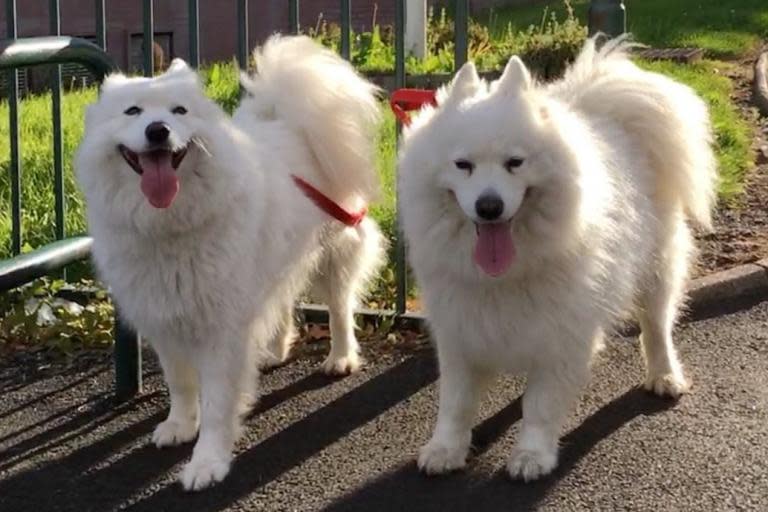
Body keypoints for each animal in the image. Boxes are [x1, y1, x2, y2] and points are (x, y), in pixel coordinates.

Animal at [78, 34, 384, 490]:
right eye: (132, 111)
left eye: (179, 111)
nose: (158, 130)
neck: (170, 226)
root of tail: (287, 119)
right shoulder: (164, 318)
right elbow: (180, 384)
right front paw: (179, 425)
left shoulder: (221, 330)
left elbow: (219, 403)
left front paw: (207, 462)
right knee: (283, 299)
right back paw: (274, 349)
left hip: (335, 250)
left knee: (339, 307)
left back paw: (341, 358)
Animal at [400, 36, 716, 480]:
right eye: (463, 166)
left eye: (515, 163)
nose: (489, 206)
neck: (506, 275)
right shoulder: (460, 330)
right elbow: (455, 403)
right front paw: (446, 449)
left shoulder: (561, 335)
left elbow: (541, 404)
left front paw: (532, 455)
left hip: (656, 268)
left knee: (656, 326)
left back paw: (665, 376)